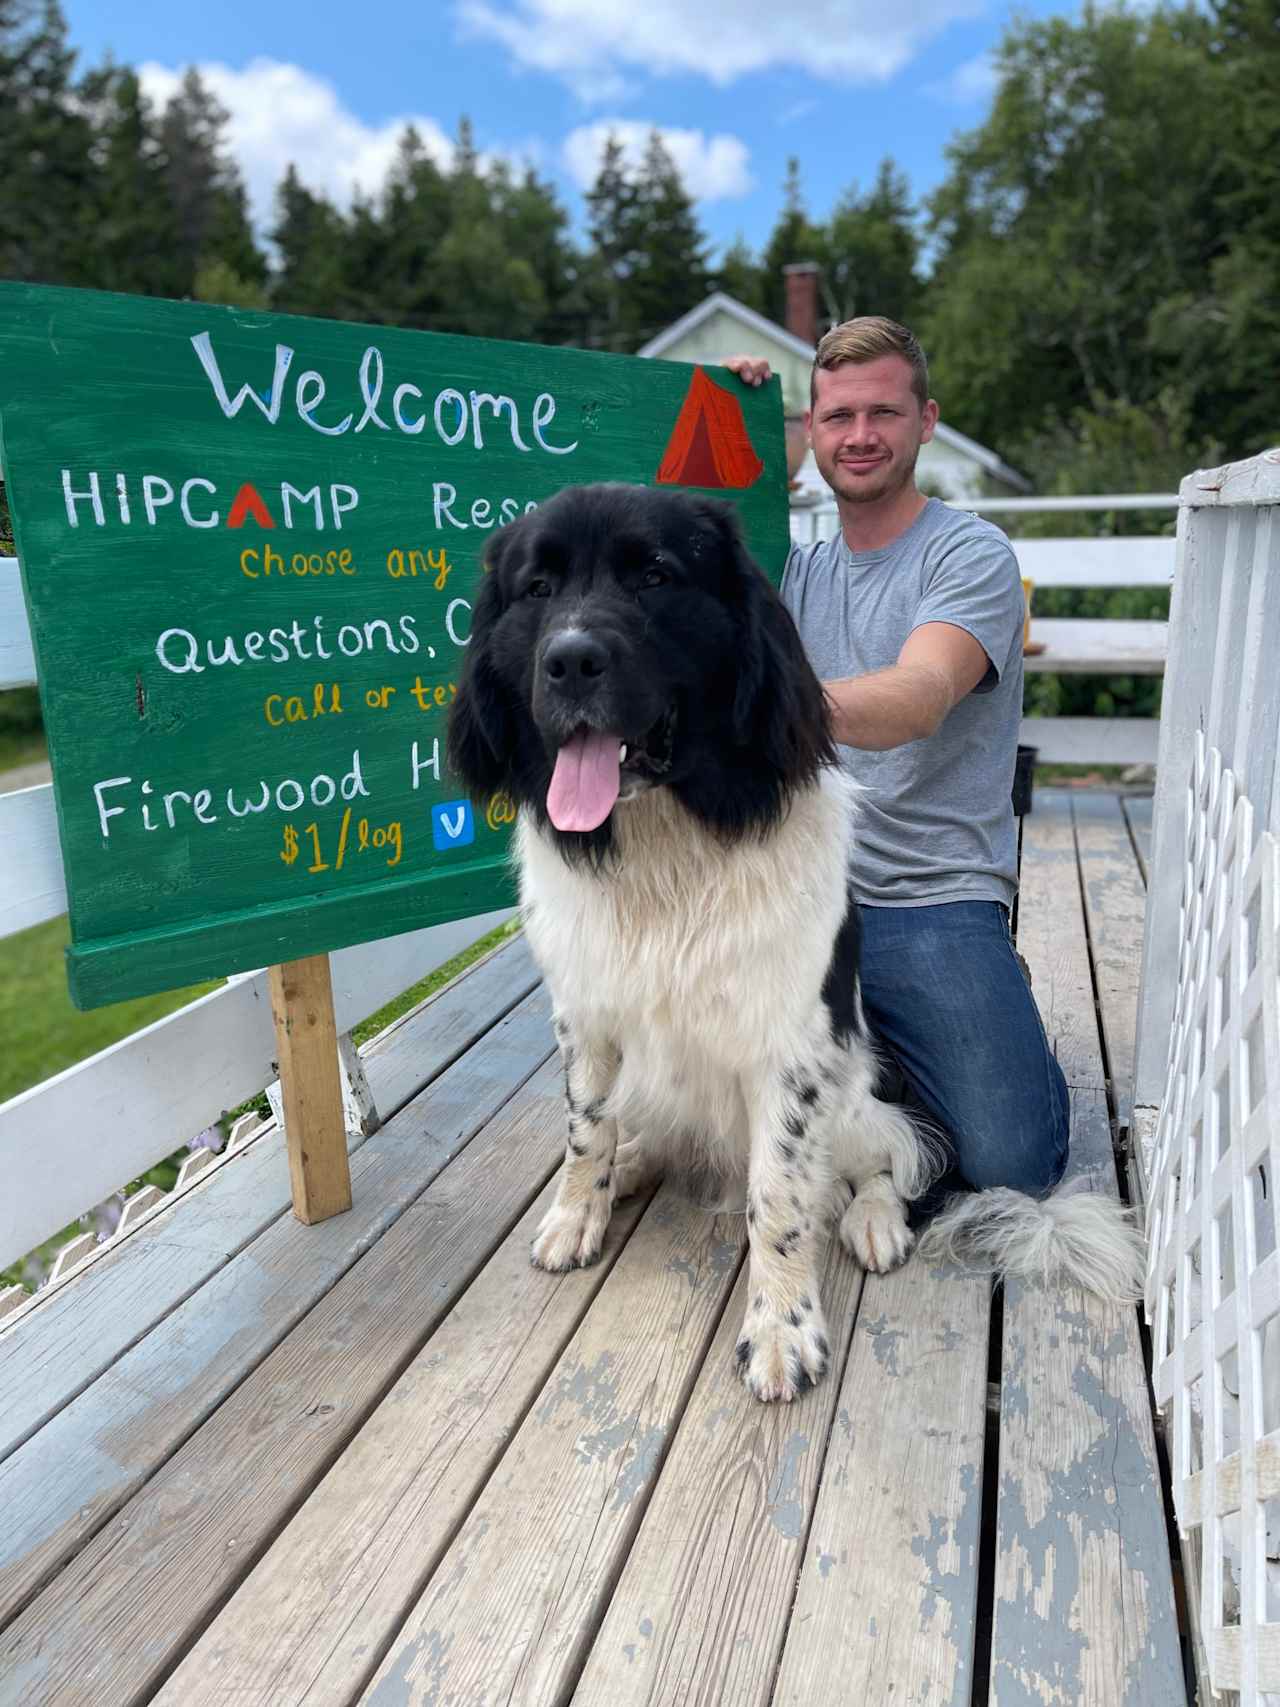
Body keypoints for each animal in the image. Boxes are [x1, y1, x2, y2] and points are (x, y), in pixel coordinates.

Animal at [447, 484, 1140, 1399]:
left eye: (655, 576)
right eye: (536, 590)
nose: (567, 660)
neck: (670, 846)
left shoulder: (793, 1047)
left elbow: (778, 1195)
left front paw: (781, 1328)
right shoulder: (586, 1014)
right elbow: (584, 1128)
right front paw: (577, 1210)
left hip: (864, 1082)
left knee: (891, 1156)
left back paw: (875, 1219)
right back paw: (633, 1165)